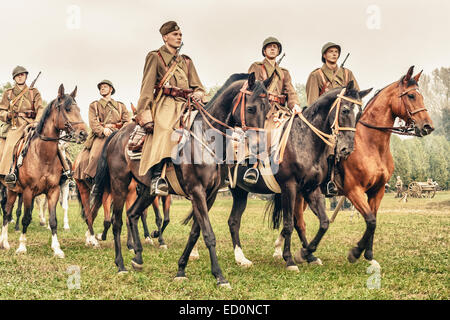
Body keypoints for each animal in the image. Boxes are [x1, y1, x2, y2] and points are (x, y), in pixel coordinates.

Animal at [0, 85, 87, 258]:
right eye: (67, 109)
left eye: (79, 109)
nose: (83, 133)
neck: (42, 155)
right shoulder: (28, 191)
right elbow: (26, 217)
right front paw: (22, 246)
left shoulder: (53, 190)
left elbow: (53, 219)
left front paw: (56, 248)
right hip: (11, 189)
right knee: (6, 212)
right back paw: (4, 242)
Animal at [227, 82, 370, 270]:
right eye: (345, 110)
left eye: (360, 114)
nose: (347, 149)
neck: (304, 141)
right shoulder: (289, 188)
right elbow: (288, 224)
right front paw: (289, 259)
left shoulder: (311, 190)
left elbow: (323, 223)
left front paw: (306, 253)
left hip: (240, 192)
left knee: (233, 221)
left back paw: (240, 258)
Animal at [272, 65, 434, 268]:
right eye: (411, 96)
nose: (427, 126)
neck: (371, 145)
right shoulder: (353, 190)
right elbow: (370, 221)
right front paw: (355, 252)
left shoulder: (377, 190)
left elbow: (373, 220)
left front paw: (369, 255)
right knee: (296, 221)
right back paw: (290, 252)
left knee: (297, 220)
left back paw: (303, 253)